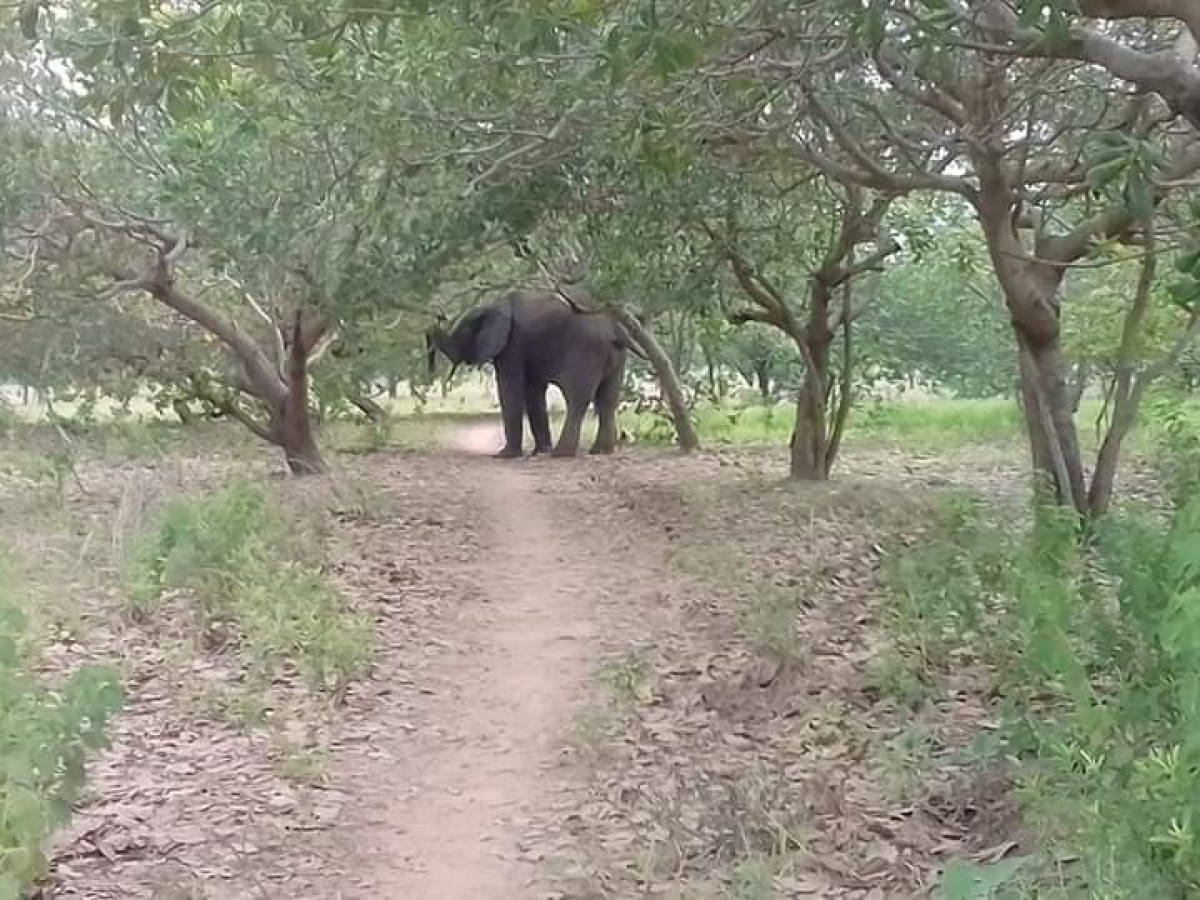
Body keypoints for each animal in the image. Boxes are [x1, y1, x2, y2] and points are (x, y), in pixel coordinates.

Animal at [427, 290, 643, 458]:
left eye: (460, 334)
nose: (438, 318)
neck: (492, 306)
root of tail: (617, 331)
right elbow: (533, 391)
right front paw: (540, 451)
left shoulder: (513, 343)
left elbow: (509, 387)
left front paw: (505, 455)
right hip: (616, 356)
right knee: (607, 399)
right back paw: (600, 451)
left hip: (587, 351)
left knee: (577, 399)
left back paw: (561, 454)